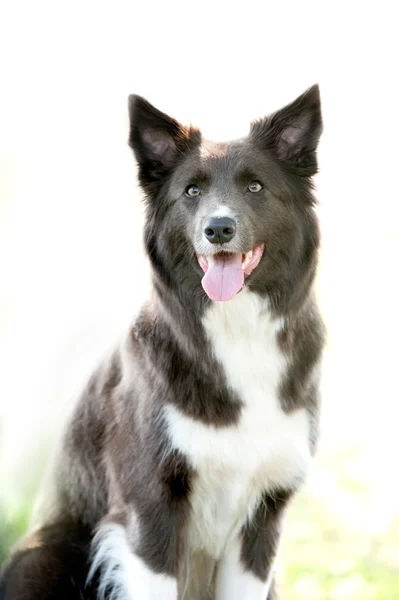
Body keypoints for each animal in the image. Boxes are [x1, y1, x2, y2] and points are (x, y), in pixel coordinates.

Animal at [0, 85, 324, 600]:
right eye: (191, 191)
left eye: (255, 187)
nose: (218, 229)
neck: (237, 332)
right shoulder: (149, 509)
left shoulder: (263, 520)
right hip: (45, 552)